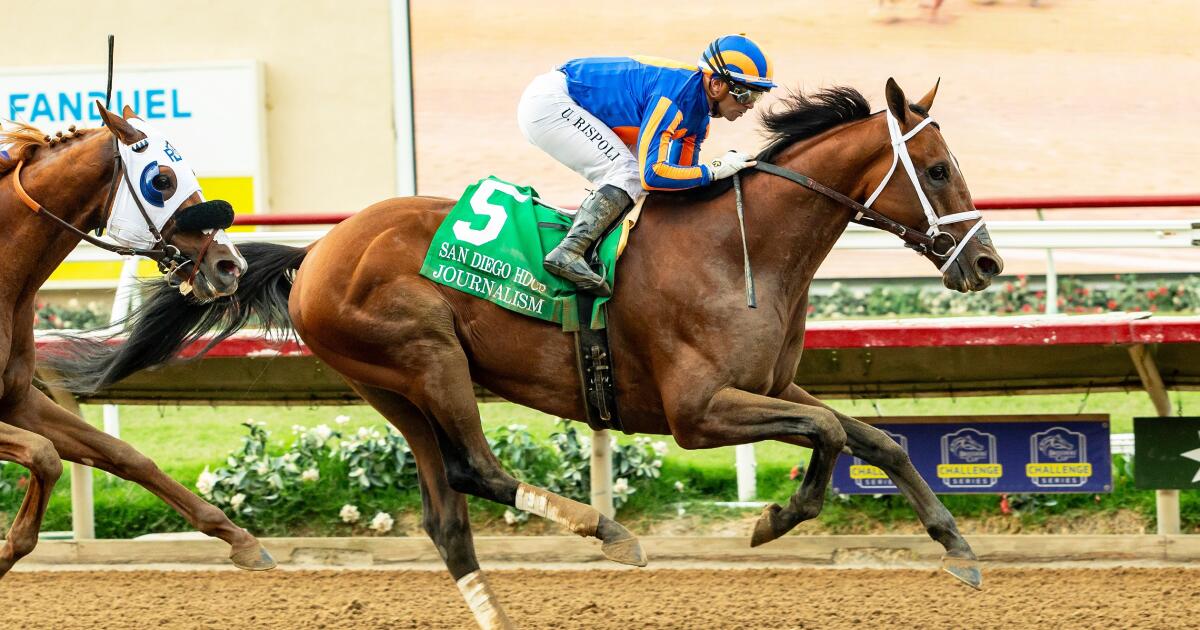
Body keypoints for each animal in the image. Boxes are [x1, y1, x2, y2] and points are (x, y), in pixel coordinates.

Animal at [0, 105, 277, 577]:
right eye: (161, 181)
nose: (231, 265)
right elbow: (45, 455)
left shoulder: (17, 400)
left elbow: (125, 455)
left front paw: (241, 540)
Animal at [49, 79, 1002, 628]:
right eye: (939, 168)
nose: (988, 263)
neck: (745, 250)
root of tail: (318, 251)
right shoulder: (699, 414)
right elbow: (835, 437)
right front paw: (773, 519)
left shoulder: (773, 385)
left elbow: (873, 438)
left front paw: (956, 548)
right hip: (426, 352)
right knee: (476, 468)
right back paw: (607, 531)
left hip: (390, 387)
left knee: (446, 514)